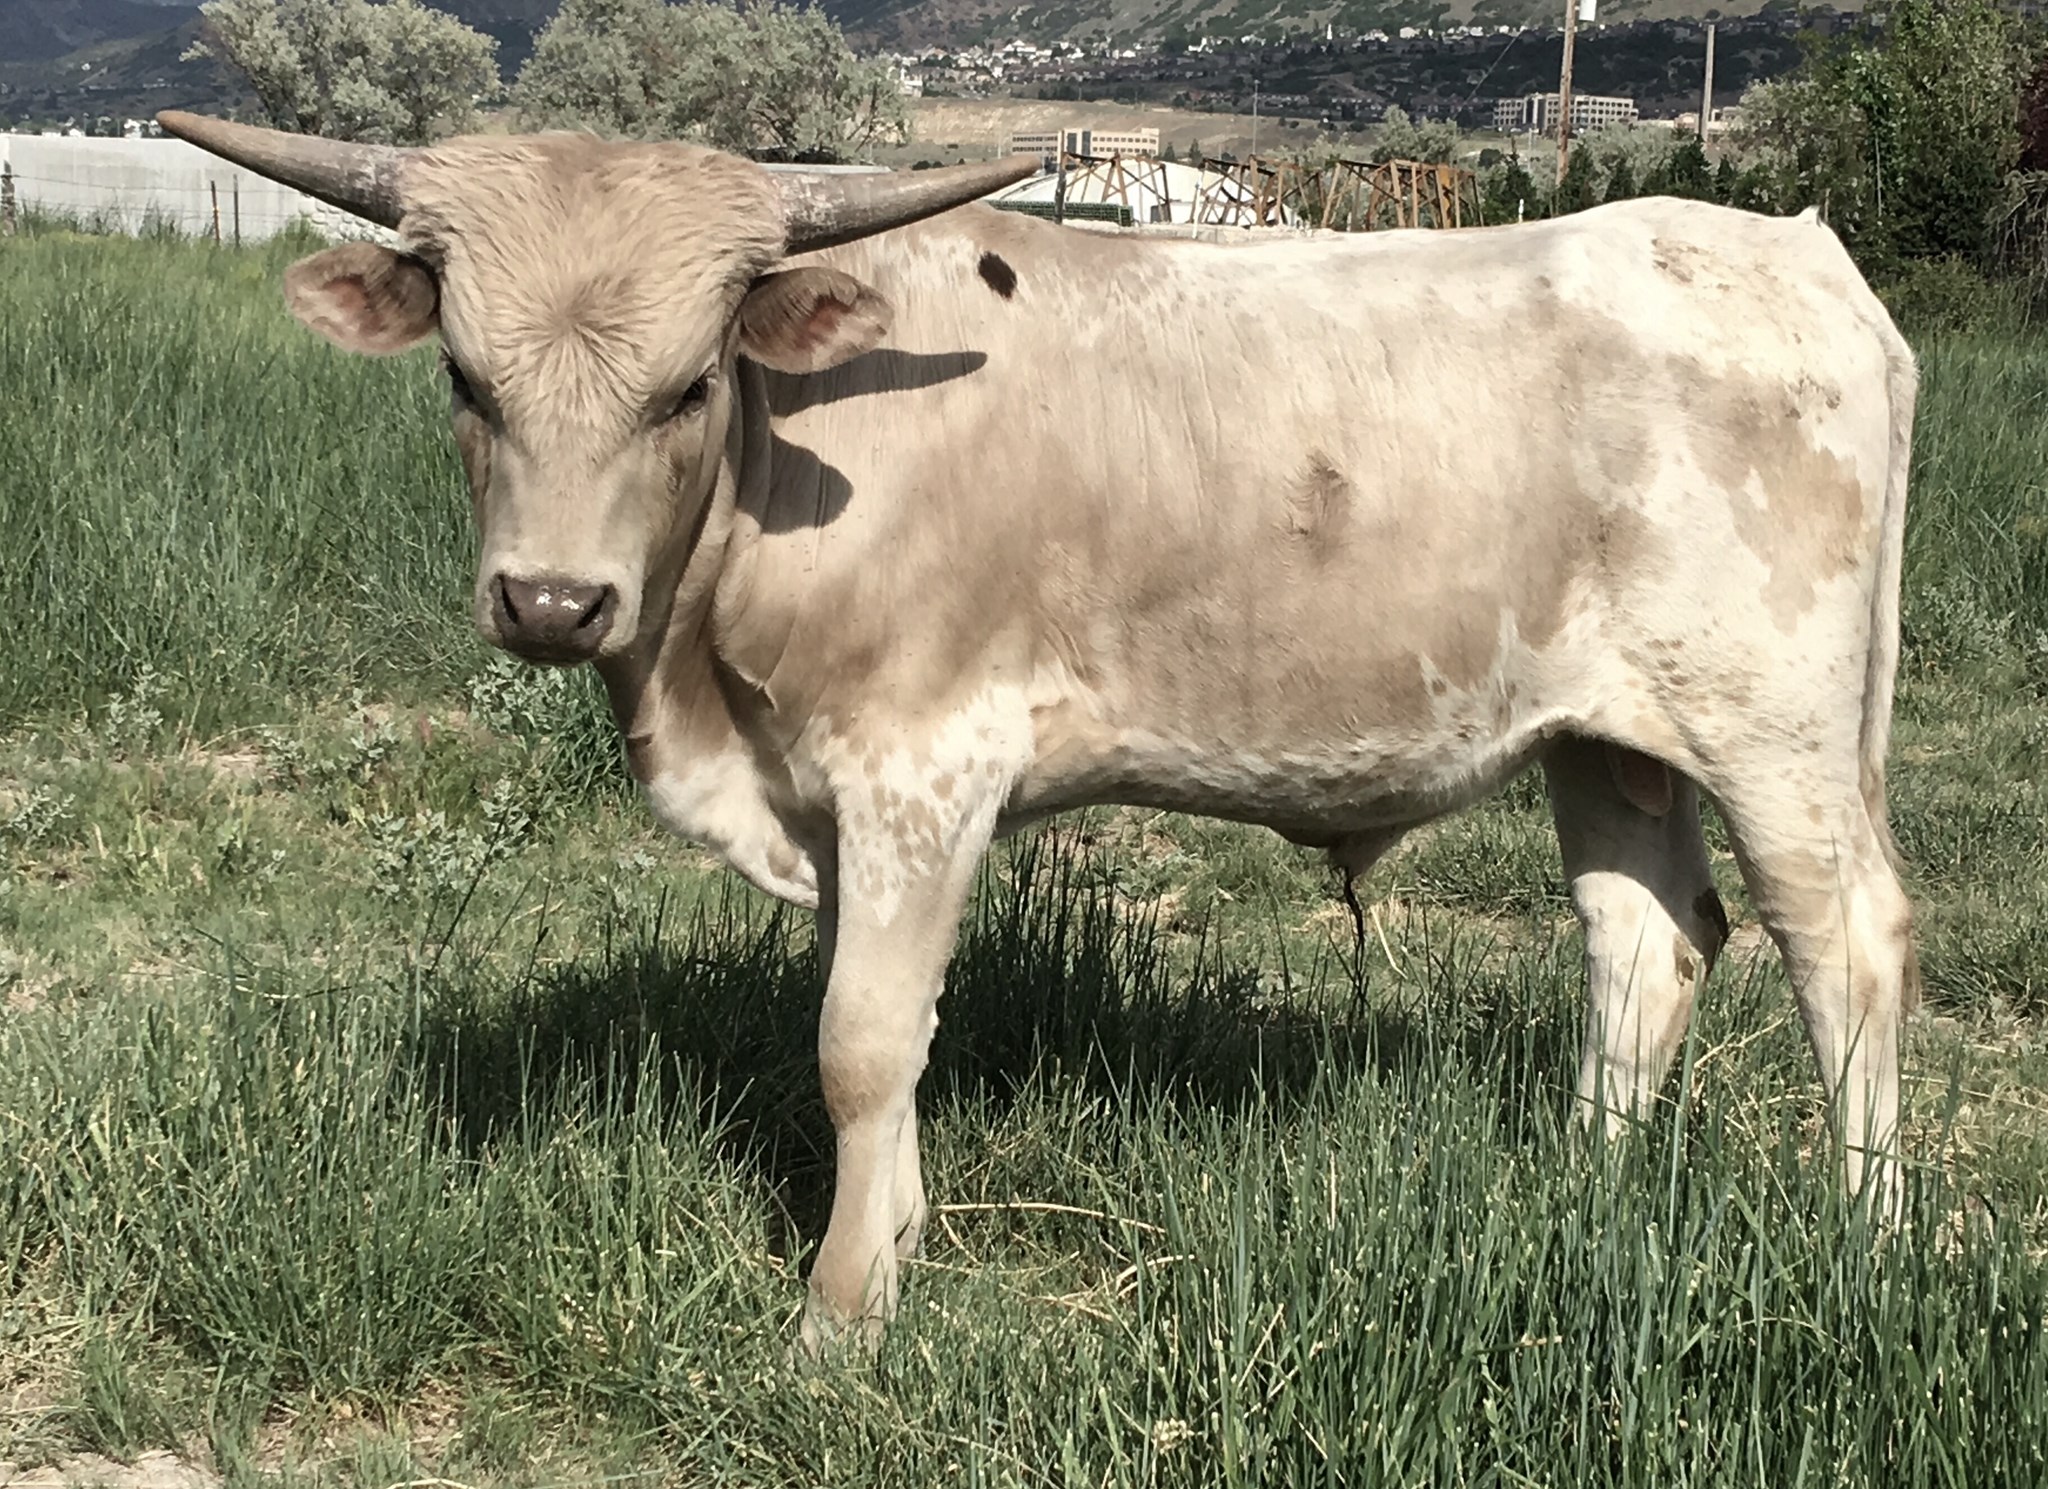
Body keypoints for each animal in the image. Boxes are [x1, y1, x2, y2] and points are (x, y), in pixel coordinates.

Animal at [159, 110, 1920, 1354]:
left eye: (684, 388)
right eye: (466, 379)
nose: (550, 599)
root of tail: (1790, 250)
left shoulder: (921, 769)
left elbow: (862, 1039)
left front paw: (840, 1316)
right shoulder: (839, 800)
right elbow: (873, 1025)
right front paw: (898, 1241)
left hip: (1777, 726)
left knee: (1843, 941)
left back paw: (1870, 1236)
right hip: (1607, 730)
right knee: (1645, 938)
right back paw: (1579, 1188)